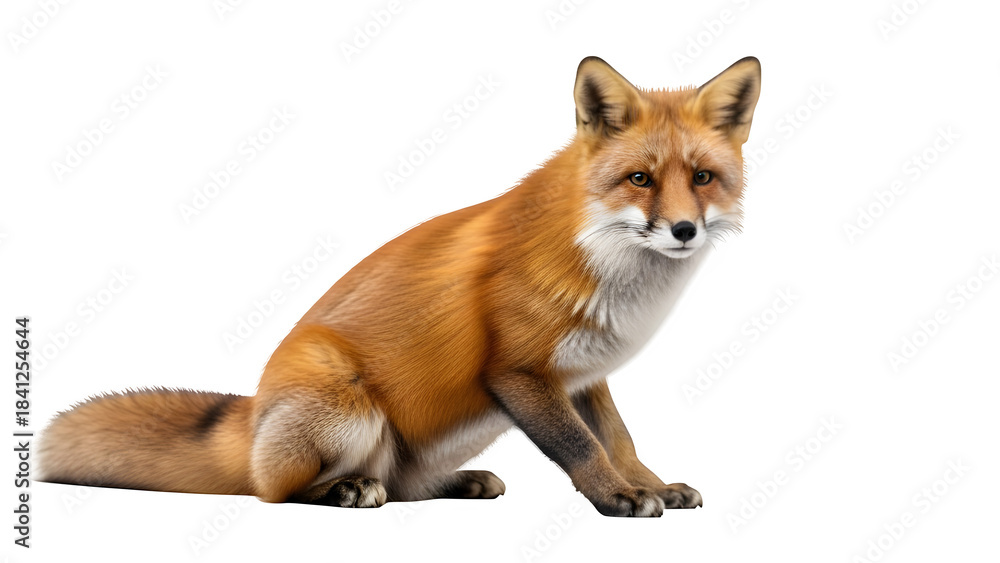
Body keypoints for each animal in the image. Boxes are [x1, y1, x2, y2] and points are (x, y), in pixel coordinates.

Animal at [38, 56, 761, 517]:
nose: (683, 230)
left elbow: (620, 440)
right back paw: (344, 491)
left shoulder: (586, 375)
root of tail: (250, 417)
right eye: (640, 179)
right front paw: (617, 497)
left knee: (405, 486)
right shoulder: (520, 370)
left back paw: (459, 481)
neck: (606, 267)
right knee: (273, 490)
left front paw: (652, 484)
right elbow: (581, 446)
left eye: (702, 178)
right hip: (349, 410)